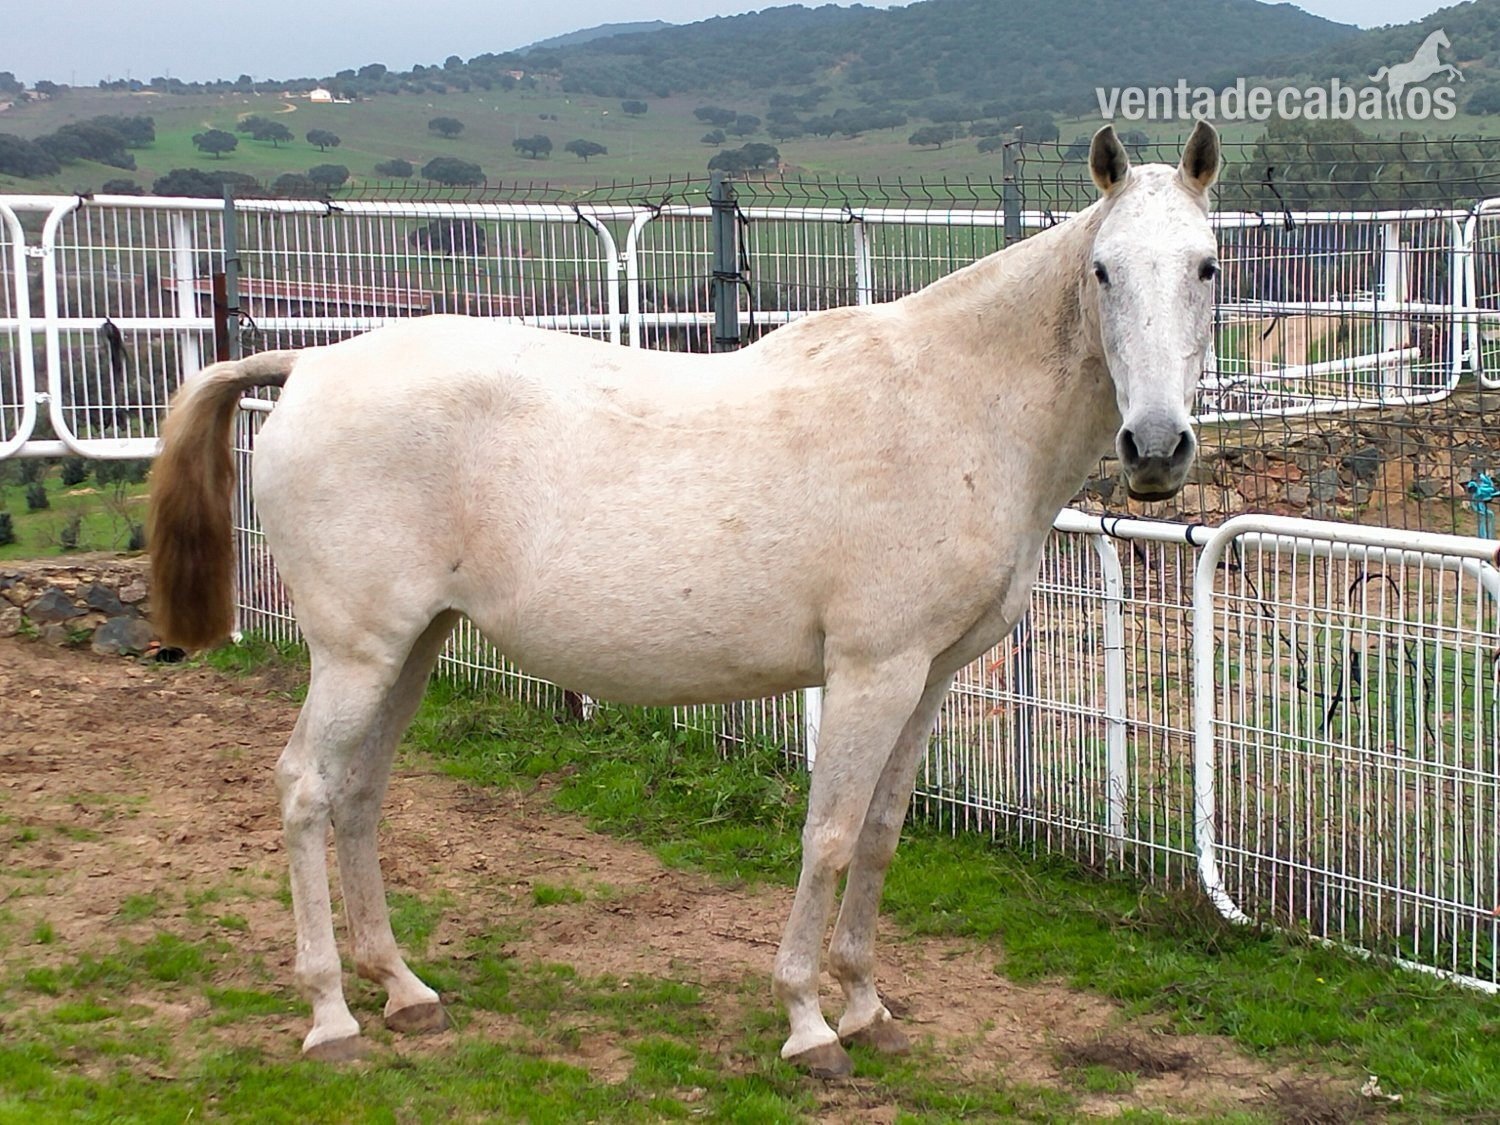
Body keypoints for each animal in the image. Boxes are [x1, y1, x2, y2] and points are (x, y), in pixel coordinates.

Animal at [148, 122, 1220, 1077]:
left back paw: (404, 989)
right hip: (355, 652)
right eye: (1103, 271)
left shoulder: (929, 675)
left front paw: (868, 1006)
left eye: (1208, 267)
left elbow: (880, 834)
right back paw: (331, 1015)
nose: (1156, 448)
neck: (951, 402)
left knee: (361, 793)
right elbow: (829, 836)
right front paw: (809, 1023)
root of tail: (310, 364)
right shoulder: (871, 671)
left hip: (413, 647)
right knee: (305, 790)